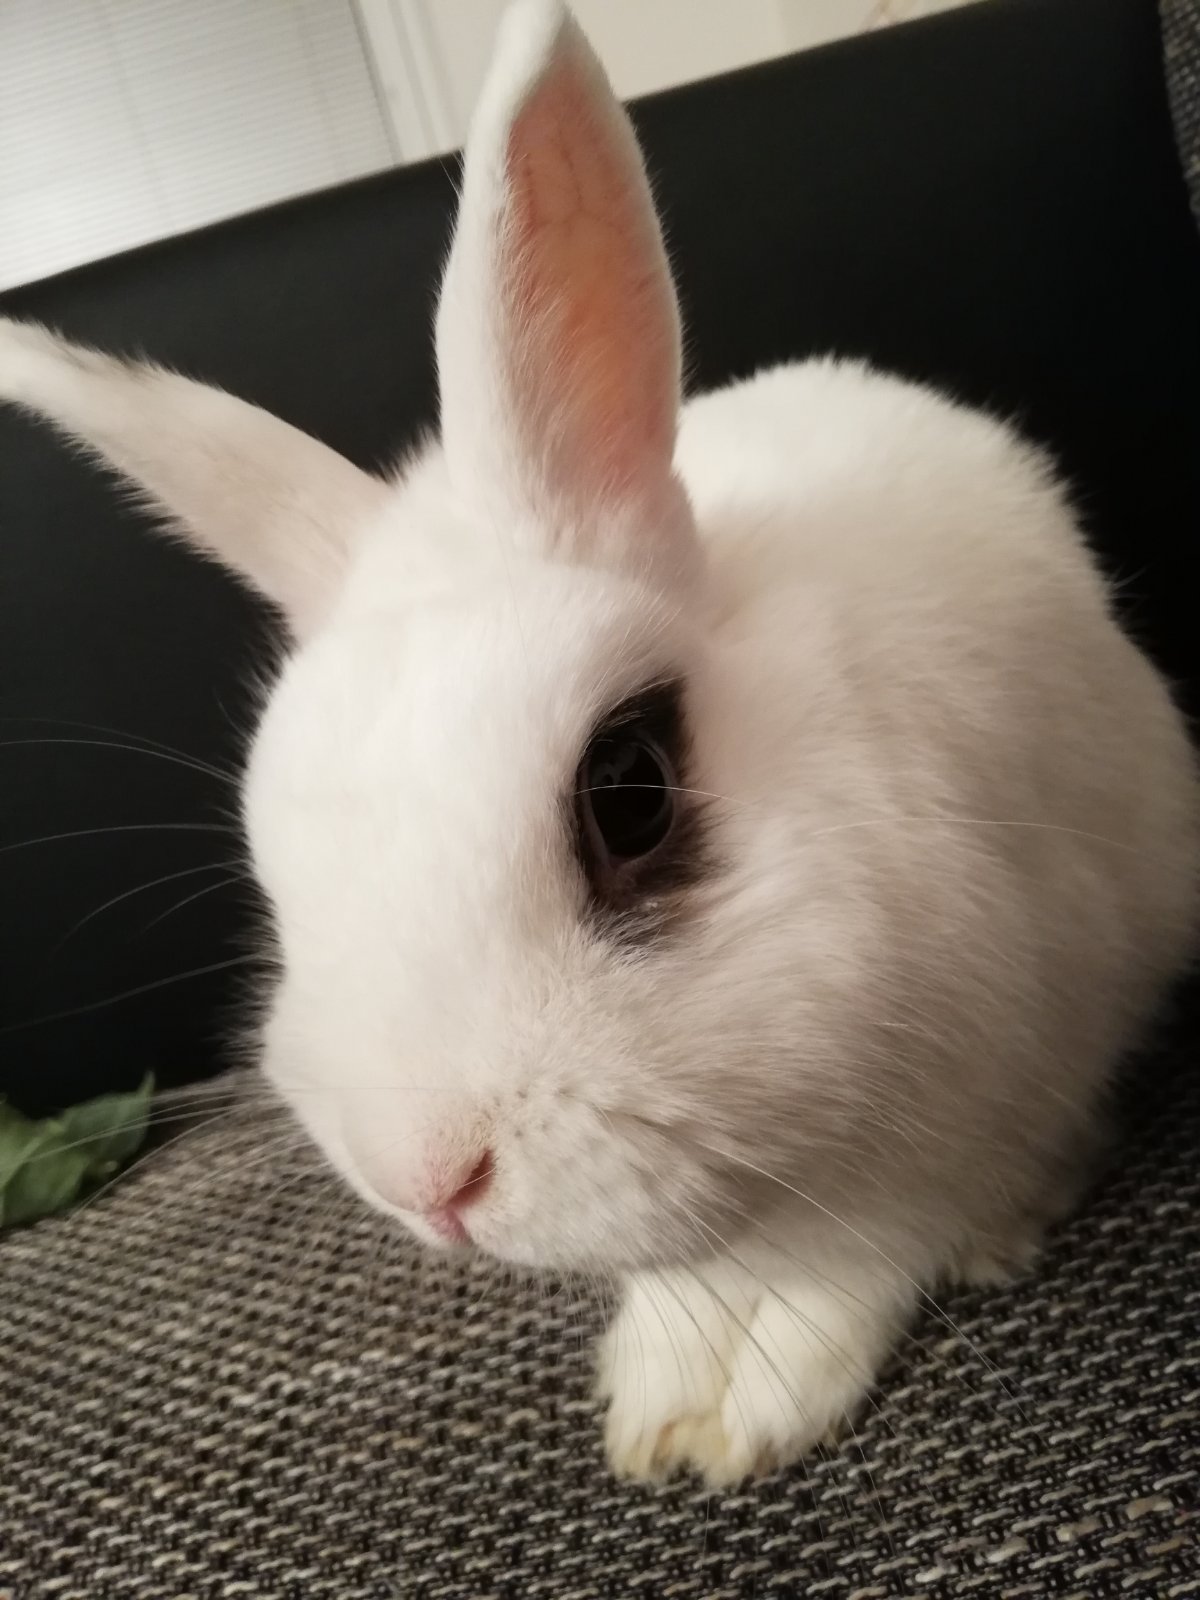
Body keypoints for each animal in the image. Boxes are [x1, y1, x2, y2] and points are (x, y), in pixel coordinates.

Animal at [1, 0, 1197, 1489]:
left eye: (631, 790)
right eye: (280, 878)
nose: (431, 1181)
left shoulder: (1007, 1055)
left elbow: (874, 1242)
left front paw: (745, 1402)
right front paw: (671, 1390)